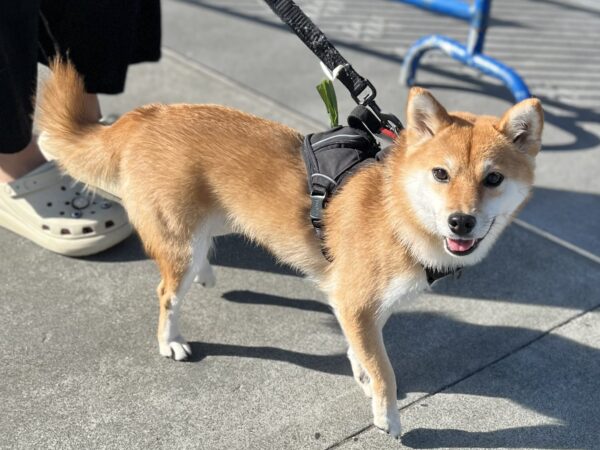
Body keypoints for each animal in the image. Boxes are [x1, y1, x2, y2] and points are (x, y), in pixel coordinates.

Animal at [37, 61, 544, 438]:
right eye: (441, 174)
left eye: (493, 178)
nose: (461, 221)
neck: (398, 211)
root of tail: (148, 115)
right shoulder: (357, 303)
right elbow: (384, 370)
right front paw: (387, 416)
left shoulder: (356, 305)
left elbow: (361, 352)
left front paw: (362, 377)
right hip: (178, 242)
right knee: (167, 294)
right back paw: (170, 340)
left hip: (217, 220)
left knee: (199, 255)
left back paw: (206, 273)